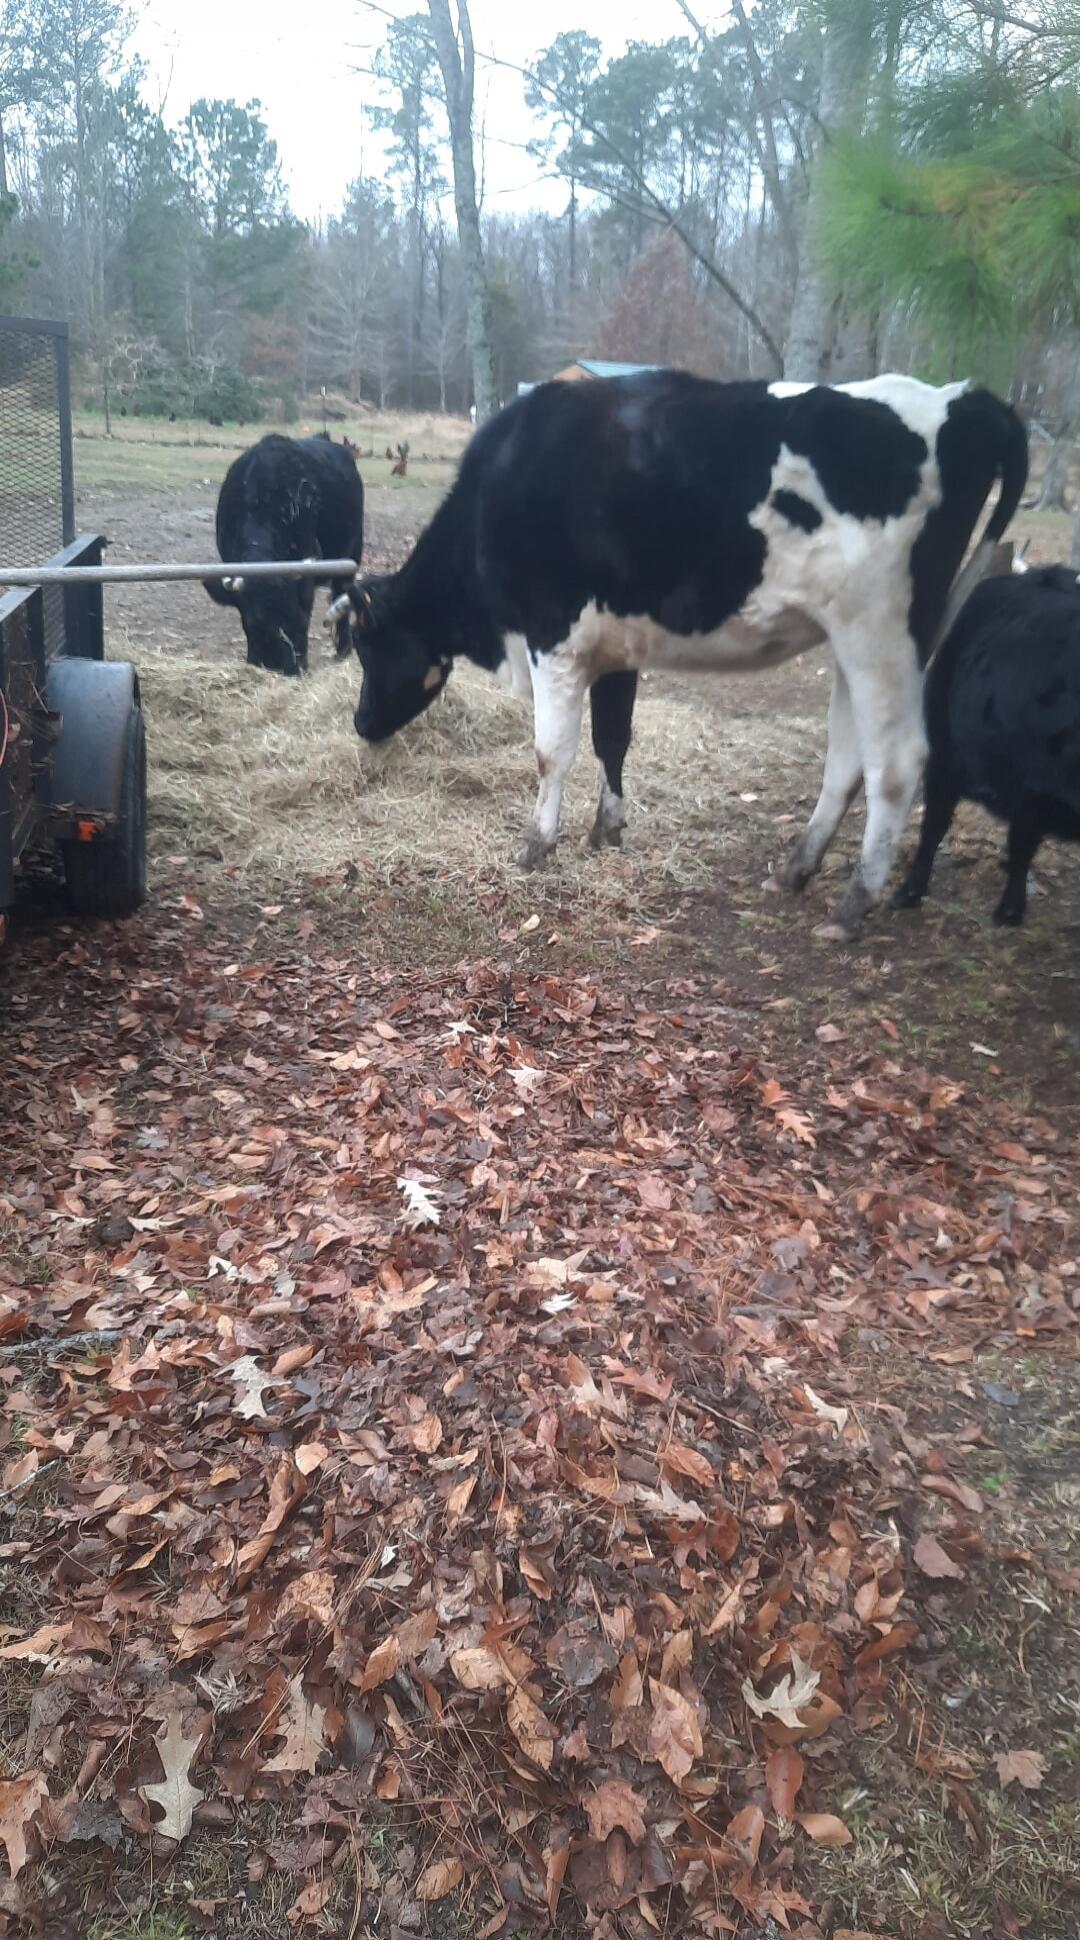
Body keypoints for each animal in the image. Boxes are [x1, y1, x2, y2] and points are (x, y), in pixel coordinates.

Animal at [205, 433, 364, 676]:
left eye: (301, 622)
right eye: (255, 623)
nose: (290, 669)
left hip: (353, 554)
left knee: (341, 594)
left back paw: (343, 651)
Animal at [345, 370, 1027, 935]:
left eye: (367, 645)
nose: (359, 722)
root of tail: (960, 398)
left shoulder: (553, 639)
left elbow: (551, 752)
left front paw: (537, 845)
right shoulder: (613, 647)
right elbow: (612, 739)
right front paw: (607, 828)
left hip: (881, 631)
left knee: (897, 763)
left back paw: (853, 903)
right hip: (852, 641)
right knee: (846, 757)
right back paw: (796, 868)